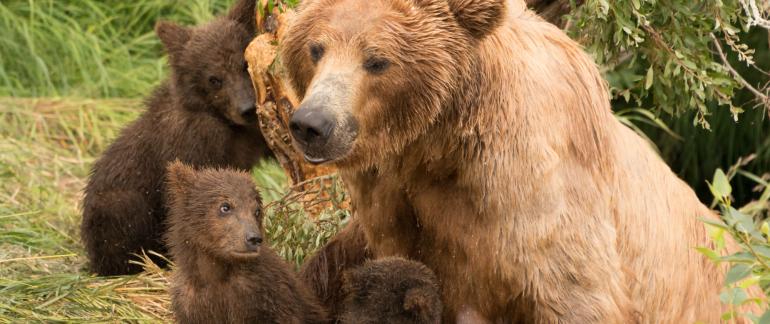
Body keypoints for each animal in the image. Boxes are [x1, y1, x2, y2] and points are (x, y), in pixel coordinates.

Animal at [282, 0, 732, 320]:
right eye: (316, 48)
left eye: (377, 60)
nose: (312, 123)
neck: (435, 145)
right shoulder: (387, 208)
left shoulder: (533, 198)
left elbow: (575, 292)